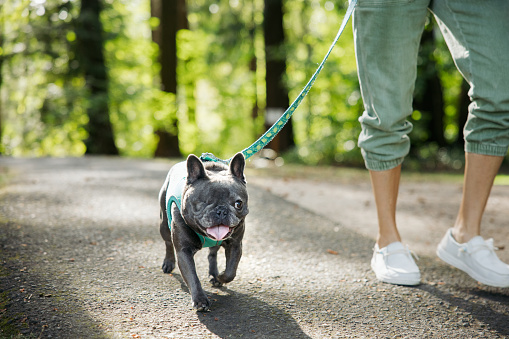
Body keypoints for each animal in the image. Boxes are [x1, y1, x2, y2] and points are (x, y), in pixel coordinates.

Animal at [157, 153, 248, 312]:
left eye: (238, 204)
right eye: (203, 202)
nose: (221, 211)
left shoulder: (236, 245)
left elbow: (231, 271)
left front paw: (220, 277)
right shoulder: (184, 252)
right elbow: (192, 276)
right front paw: (200, 300)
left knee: (213, 253)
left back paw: (214, 274)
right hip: (164, 224)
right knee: (168, 242)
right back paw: (168, 263)